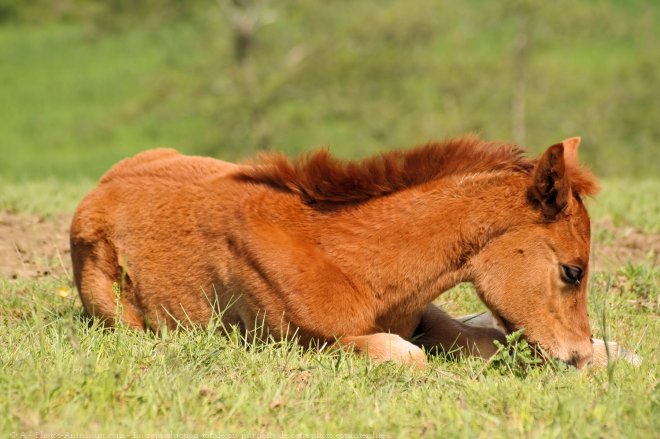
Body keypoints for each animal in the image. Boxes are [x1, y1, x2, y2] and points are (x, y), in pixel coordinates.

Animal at [71, 136, 600, 370]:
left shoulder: (422, 312)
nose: (574, 355)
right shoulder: (303, 341)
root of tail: (97, 190)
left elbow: (486, 339)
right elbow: (410, 356)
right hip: (118, 315)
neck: (350, 263)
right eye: (573, 271)